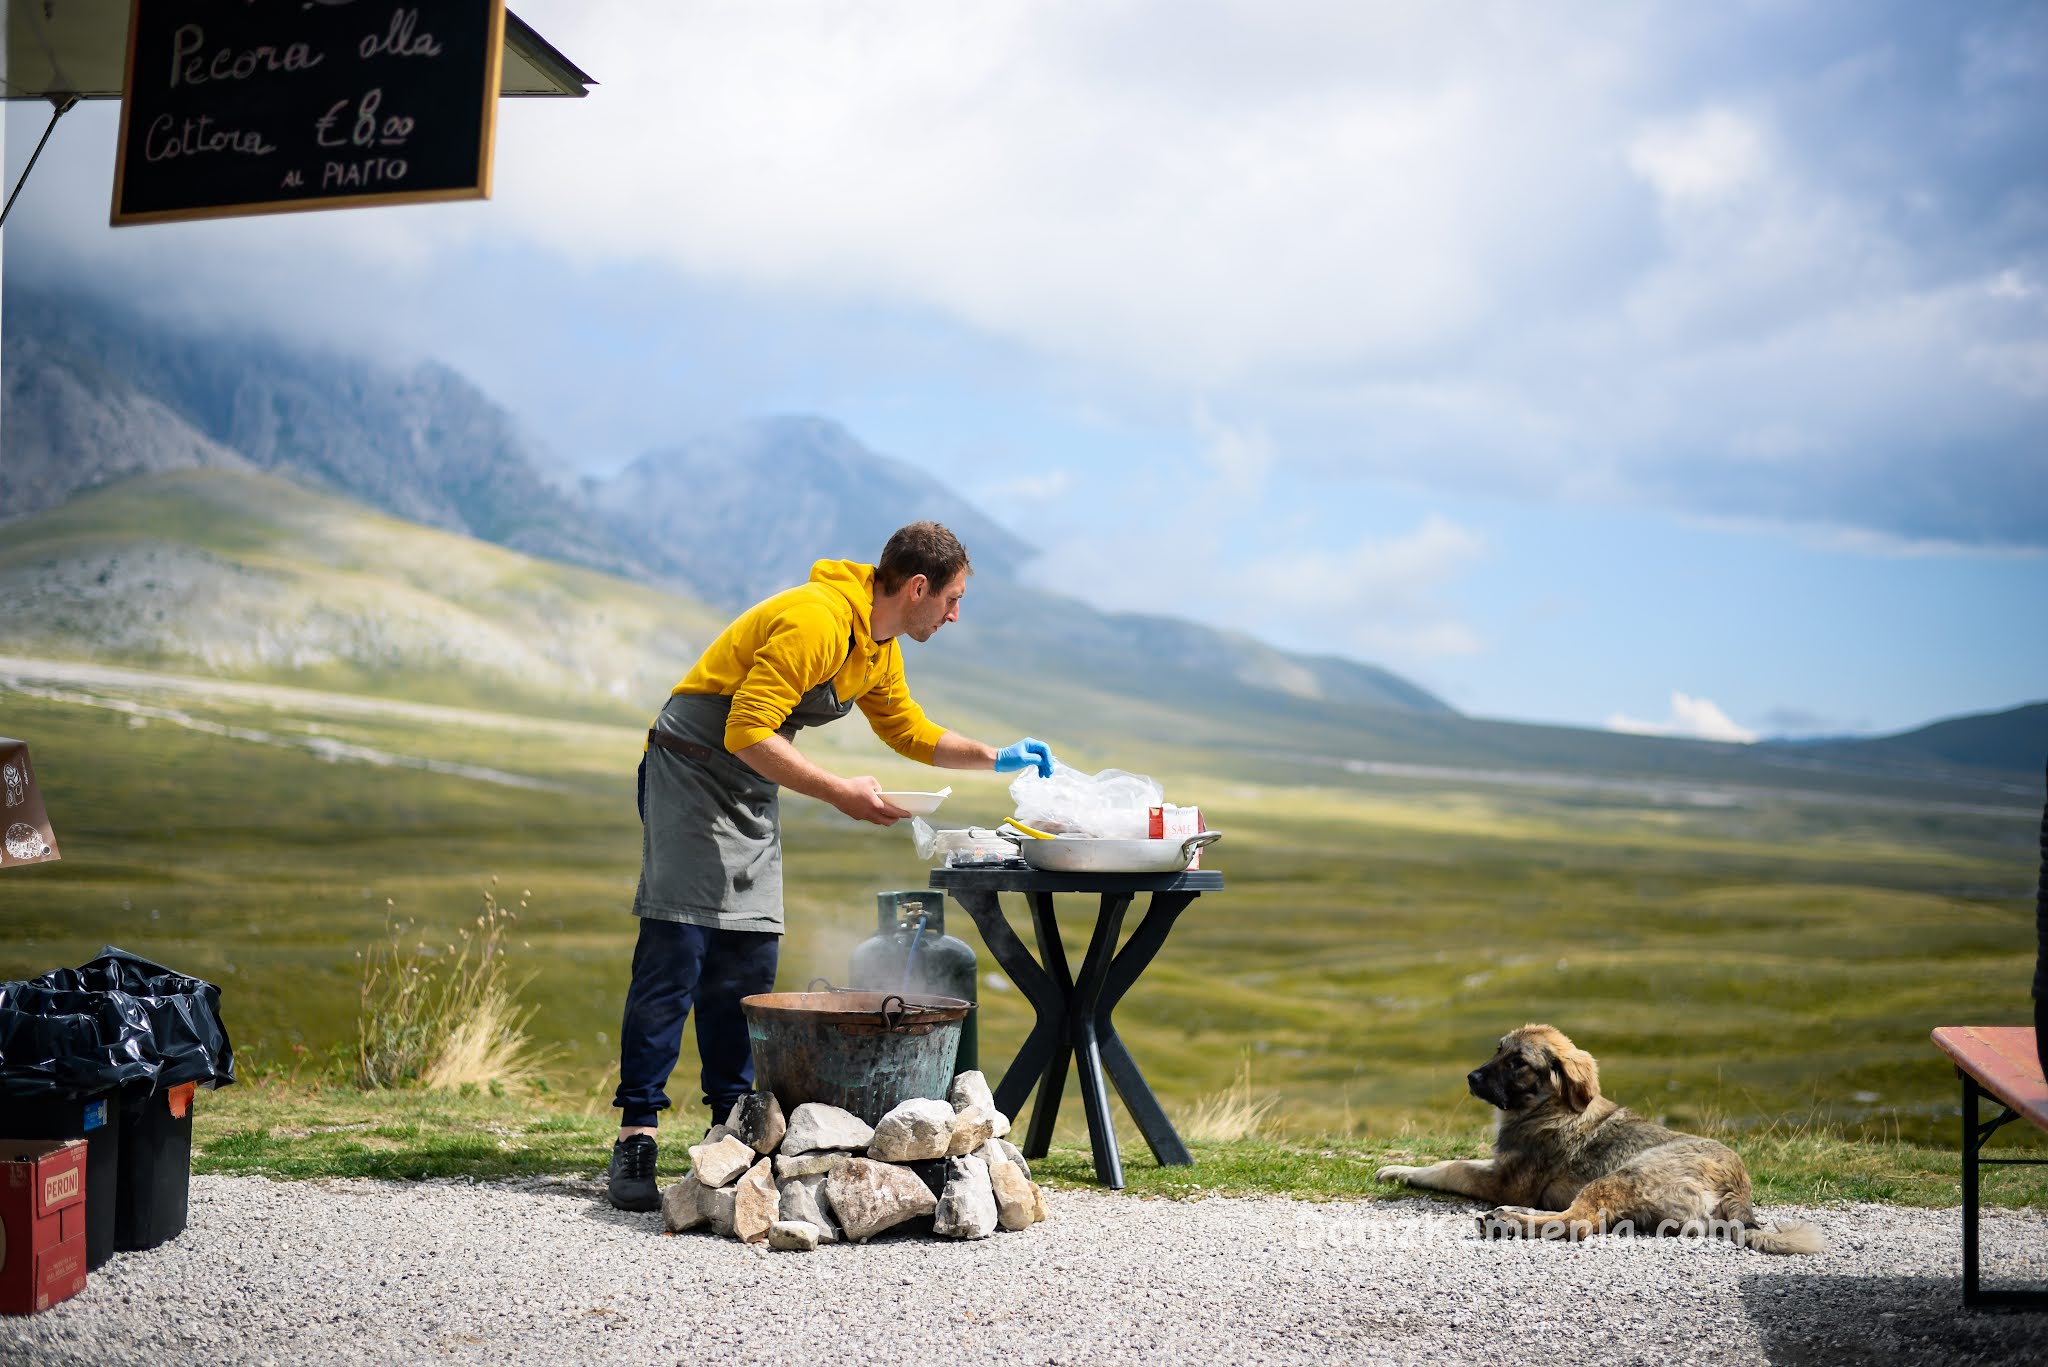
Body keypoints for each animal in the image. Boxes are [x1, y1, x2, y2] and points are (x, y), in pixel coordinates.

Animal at [1376, 1024, 1826, 1254]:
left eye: (1518, 1062)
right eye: (1498, 1050)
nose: (1471, 1078)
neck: (1548, 1106)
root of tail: (1737, 1189)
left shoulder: (1504, 1178)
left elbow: (1450, 1166)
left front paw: (1396, 1169)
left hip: (1621, 1175)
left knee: (1578, 1223)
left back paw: (1508, 1220)